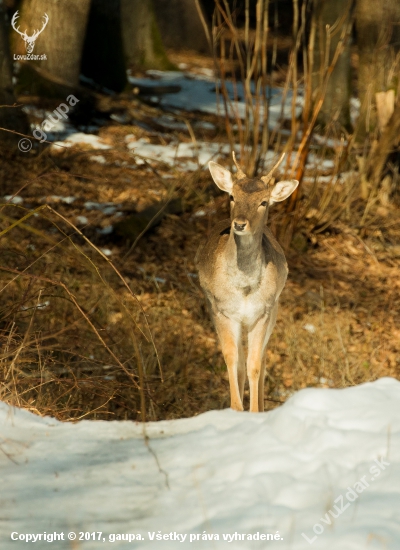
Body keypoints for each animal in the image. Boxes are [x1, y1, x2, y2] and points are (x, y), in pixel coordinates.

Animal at [195, 153, 298, 412]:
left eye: (264, 202)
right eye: (232, 196)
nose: (240, 224)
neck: (243, 287)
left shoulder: (262, 312)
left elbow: (254, 364)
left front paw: (253, 411)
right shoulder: (221, 310)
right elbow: (232, 360)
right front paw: (236, 408)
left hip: (274, 309)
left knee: (262, 357)